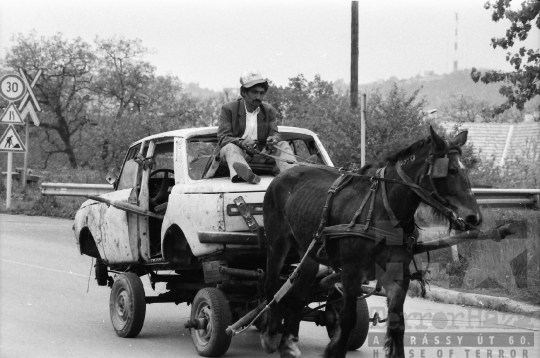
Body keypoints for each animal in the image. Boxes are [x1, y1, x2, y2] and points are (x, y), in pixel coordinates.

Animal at [260, 127, 480, 356]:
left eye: (464, 170)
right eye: (451, 170)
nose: (474, 217)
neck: (384, 209)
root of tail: (281, 176)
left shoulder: (397, 275)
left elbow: (397, 324)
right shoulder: (351, 273)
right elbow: (348, 319)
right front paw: (335, 350)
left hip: (308, 252)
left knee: (297, 295)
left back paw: (289, 342)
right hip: (277, 243)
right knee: (271, 285)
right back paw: (271, 334)